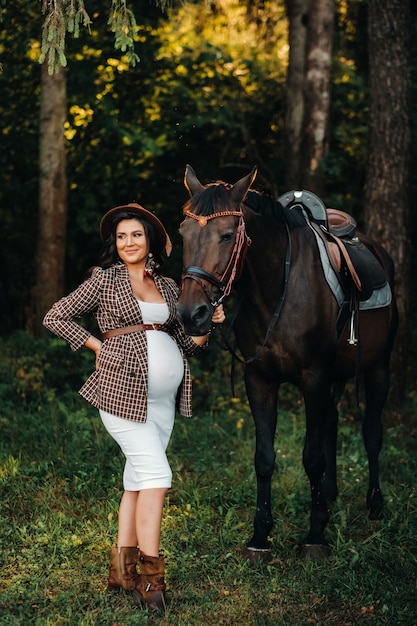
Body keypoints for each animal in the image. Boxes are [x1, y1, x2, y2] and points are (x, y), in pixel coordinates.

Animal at [176, 165, 396, 556]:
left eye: (227, 235)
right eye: (182, 233)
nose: (191, 314)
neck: (277, 287)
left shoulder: (313, 378)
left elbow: (312, 457)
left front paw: (315, 534)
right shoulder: (259, 379)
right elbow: (265, 458)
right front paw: (260, 536)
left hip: (378, 367)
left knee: (372, 433)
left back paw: (374, 504)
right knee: (332, 422)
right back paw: (330, 496)